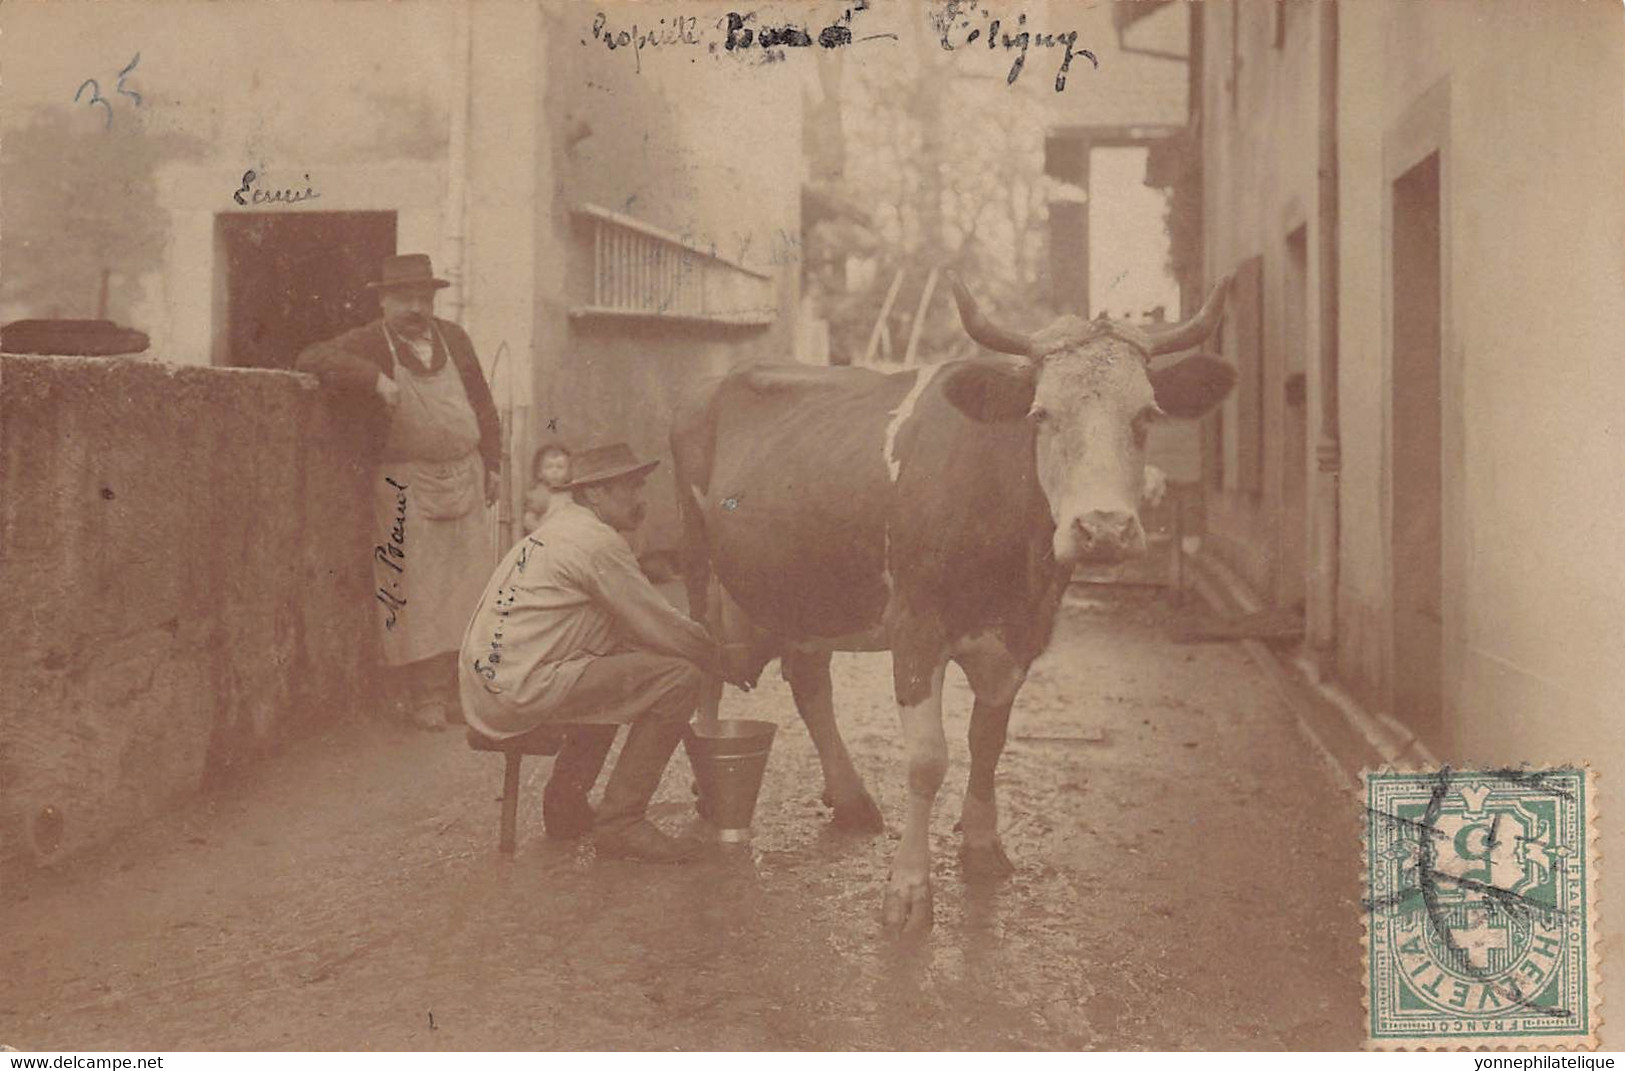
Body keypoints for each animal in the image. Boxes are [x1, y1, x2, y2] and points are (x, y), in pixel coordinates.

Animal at [672, 274, 1228, 929]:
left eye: (1146, 414)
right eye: (1042, 413)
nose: (1104, 529)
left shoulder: (1021, 635)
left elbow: (987, 742)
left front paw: (983, 845)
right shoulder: (915, 628)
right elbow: (927, 759)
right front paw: (909, 888)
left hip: (807, 584)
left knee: (809, 680)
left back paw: (851, 799)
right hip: (699, 564)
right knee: (708, 670)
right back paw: (711, 785)